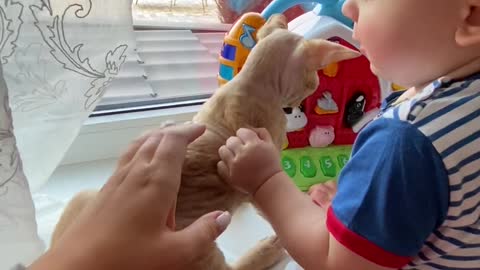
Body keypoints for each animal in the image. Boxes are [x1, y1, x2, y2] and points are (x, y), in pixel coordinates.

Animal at [51, 15, 360, 270]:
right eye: (313, 80)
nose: (312, 88)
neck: (251, 82)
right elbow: (270, 199)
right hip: (195, 248)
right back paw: (267, 249)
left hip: (86, 198)